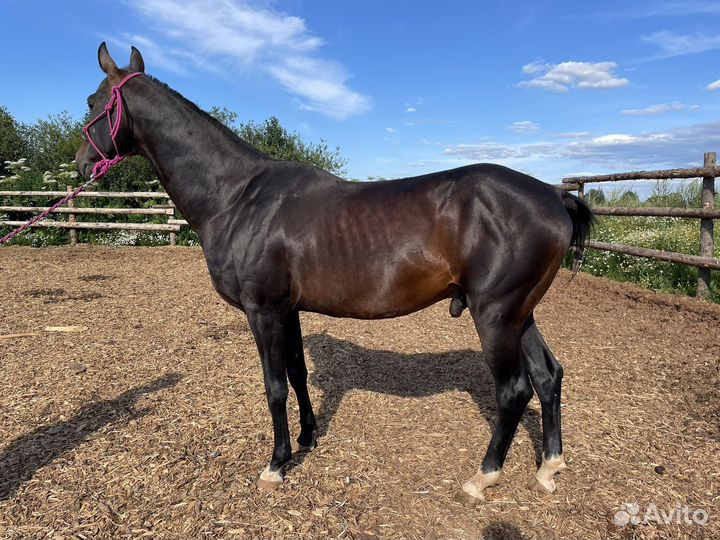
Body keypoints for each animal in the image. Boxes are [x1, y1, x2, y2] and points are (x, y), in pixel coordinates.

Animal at [75, 43, 593, 501]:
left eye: (92, 101)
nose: (81, 163)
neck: (237, 196)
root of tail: (554, 196)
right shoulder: (287, 310)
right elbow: (298, 373)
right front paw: (307, 437)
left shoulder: (262, 310)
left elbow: (274, 386)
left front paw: (276, 463)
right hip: (519, 314)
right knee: (548, 375)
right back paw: (548, 468)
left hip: (496, 315)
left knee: (513, 391)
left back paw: (482, 478)